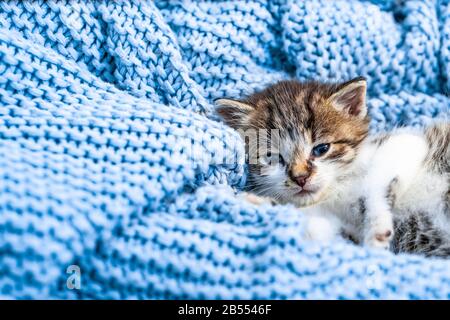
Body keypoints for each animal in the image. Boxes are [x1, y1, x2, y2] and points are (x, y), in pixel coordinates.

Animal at [215, 77, 450, 258]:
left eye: (321, 149)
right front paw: (263, 205)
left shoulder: (408, 143)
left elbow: (373, 187)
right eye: (272, 157)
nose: (300, 178)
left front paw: (376, 229)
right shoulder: (344, 230)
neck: (336, 189)